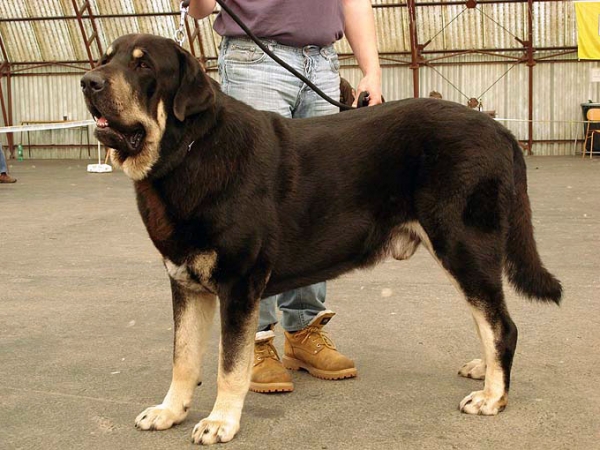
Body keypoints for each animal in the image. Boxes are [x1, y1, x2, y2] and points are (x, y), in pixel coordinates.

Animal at [81, 33, 564, 444]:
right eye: (106, 58)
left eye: (143, 66)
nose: (88, 81)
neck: (189, 152)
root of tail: (502, 132)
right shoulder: (185, 282)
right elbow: (183, 357)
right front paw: (170, 411)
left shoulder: (238, 282)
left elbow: (229, 365)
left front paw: (220, 421)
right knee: (488, 320)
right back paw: (486, 371)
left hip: (463, 244)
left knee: (502, 324)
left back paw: (494, 396)